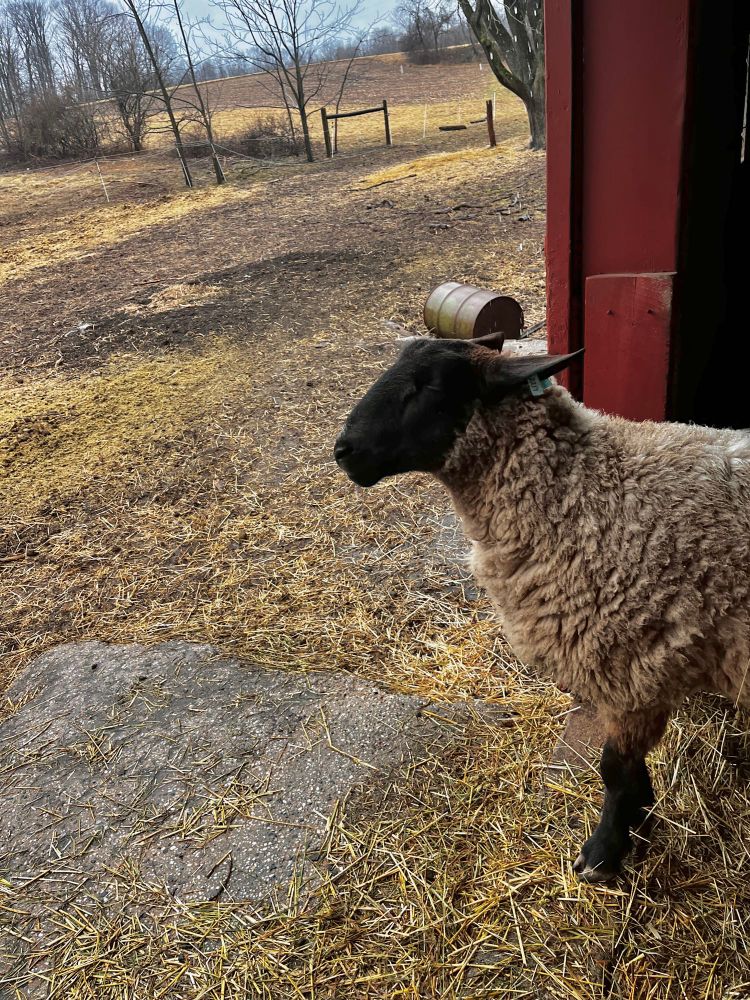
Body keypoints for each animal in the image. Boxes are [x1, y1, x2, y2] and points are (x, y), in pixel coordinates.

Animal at [334, 331, 750, 882]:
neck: (581, 492)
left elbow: (614, 770)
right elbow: (627, 771)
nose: (344, 450)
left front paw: (605, 850)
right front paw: (641, 814)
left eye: (431, 386)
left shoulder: (633, 671)